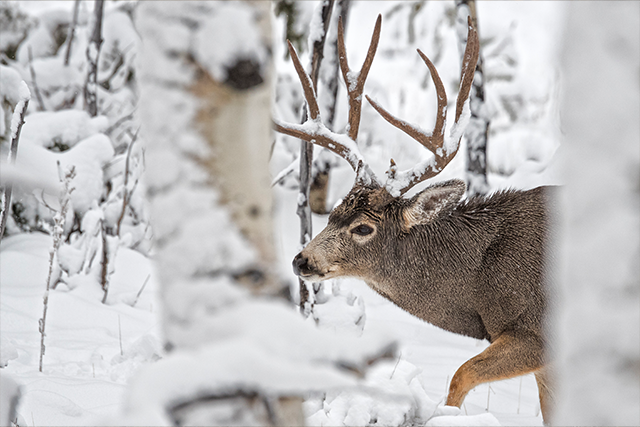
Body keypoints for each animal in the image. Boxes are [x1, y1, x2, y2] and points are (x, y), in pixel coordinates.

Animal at [274, 15, 554, 423]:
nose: (301, 260)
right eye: (334, 213)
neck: (482, 279)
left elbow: (459, 375)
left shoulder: (537, 331)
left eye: (363, 228)